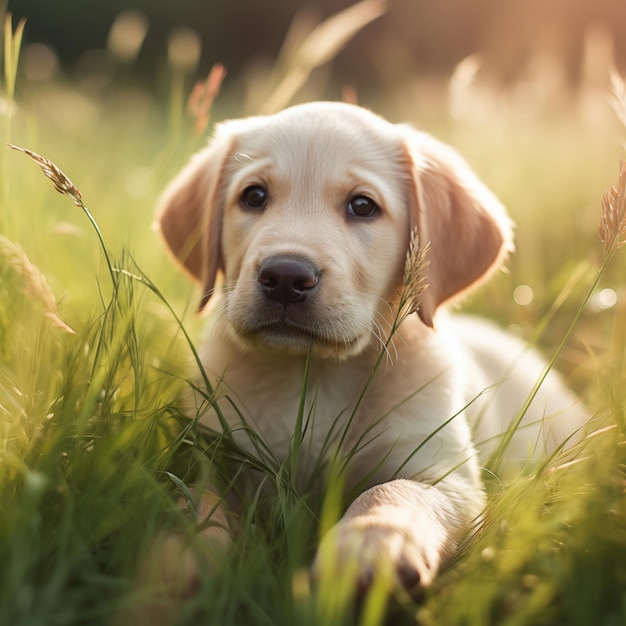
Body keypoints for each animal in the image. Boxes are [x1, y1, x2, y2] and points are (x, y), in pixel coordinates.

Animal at [152, 101, 584, 600]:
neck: (315, 377)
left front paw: (369, 548)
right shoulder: (217, 459)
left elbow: (392, 492)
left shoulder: (444, 475)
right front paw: (178, 557)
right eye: (253, 197)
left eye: (362, 206)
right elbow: (195, 504)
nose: (285, 276)